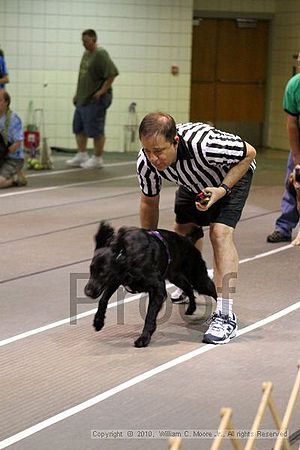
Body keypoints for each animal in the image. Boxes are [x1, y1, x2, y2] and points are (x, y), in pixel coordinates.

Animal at [84, 221, 216, 348]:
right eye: (91, 269)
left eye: (103, 272)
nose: (87, 292)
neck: (128, 257)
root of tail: (188, 240)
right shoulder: (116, 280)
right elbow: (103, 300)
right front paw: (98, 321)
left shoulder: (158, 288)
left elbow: (150, 315)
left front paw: (144, 338)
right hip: (175, 276)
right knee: (188, 288)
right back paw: (191, 308)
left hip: (199, 279)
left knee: (213, 290)